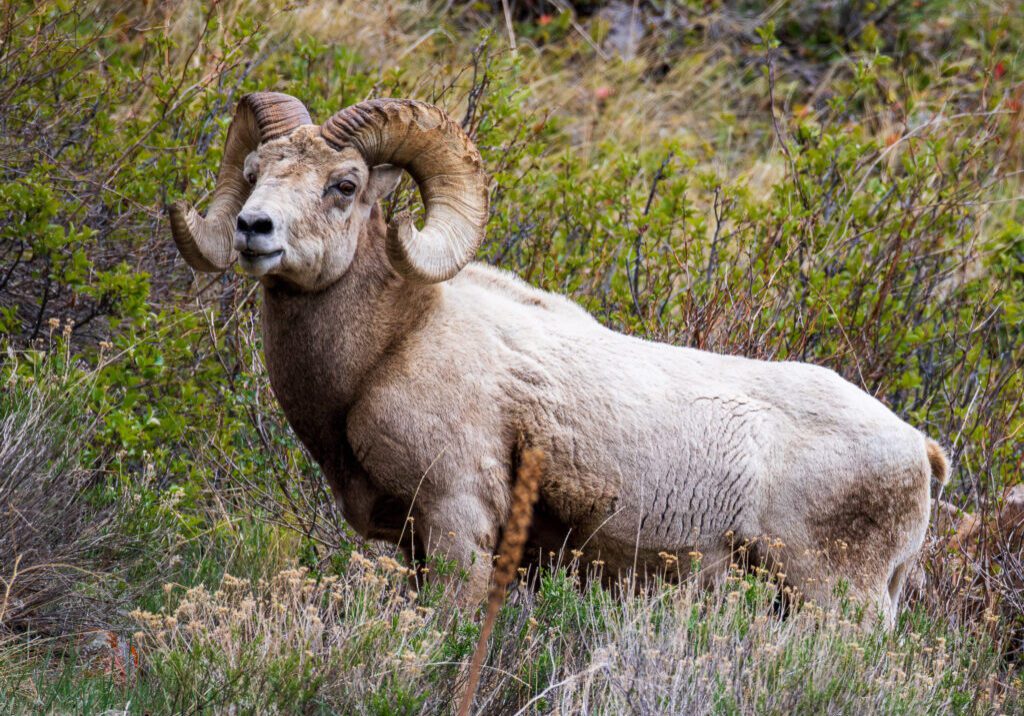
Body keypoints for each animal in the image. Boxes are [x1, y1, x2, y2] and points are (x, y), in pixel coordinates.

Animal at [169, 92, 949, 625]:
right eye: (254, 171)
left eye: (344, 186)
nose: (252, 229)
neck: (386, 351)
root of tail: (920, 451)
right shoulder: (418, 547)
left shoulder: (457, 524)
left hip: (833, 598)